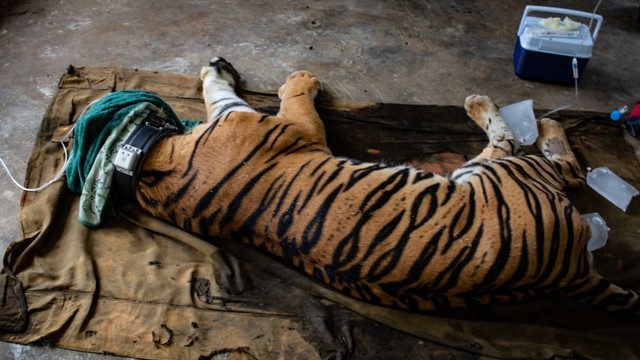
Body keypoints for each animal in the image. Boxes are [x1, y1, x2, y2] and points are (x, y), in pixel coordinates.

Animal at [132, 57, 636, 314]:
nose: (221, 57)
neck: (149, 158)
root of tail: (571, 271)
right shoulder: (294, 125)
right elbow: (288, 95)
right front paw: (300, 77)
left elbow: (216, 93)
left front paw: (210, 70)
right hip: (499, 173)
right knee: (538, 154)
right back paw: (517, 114)